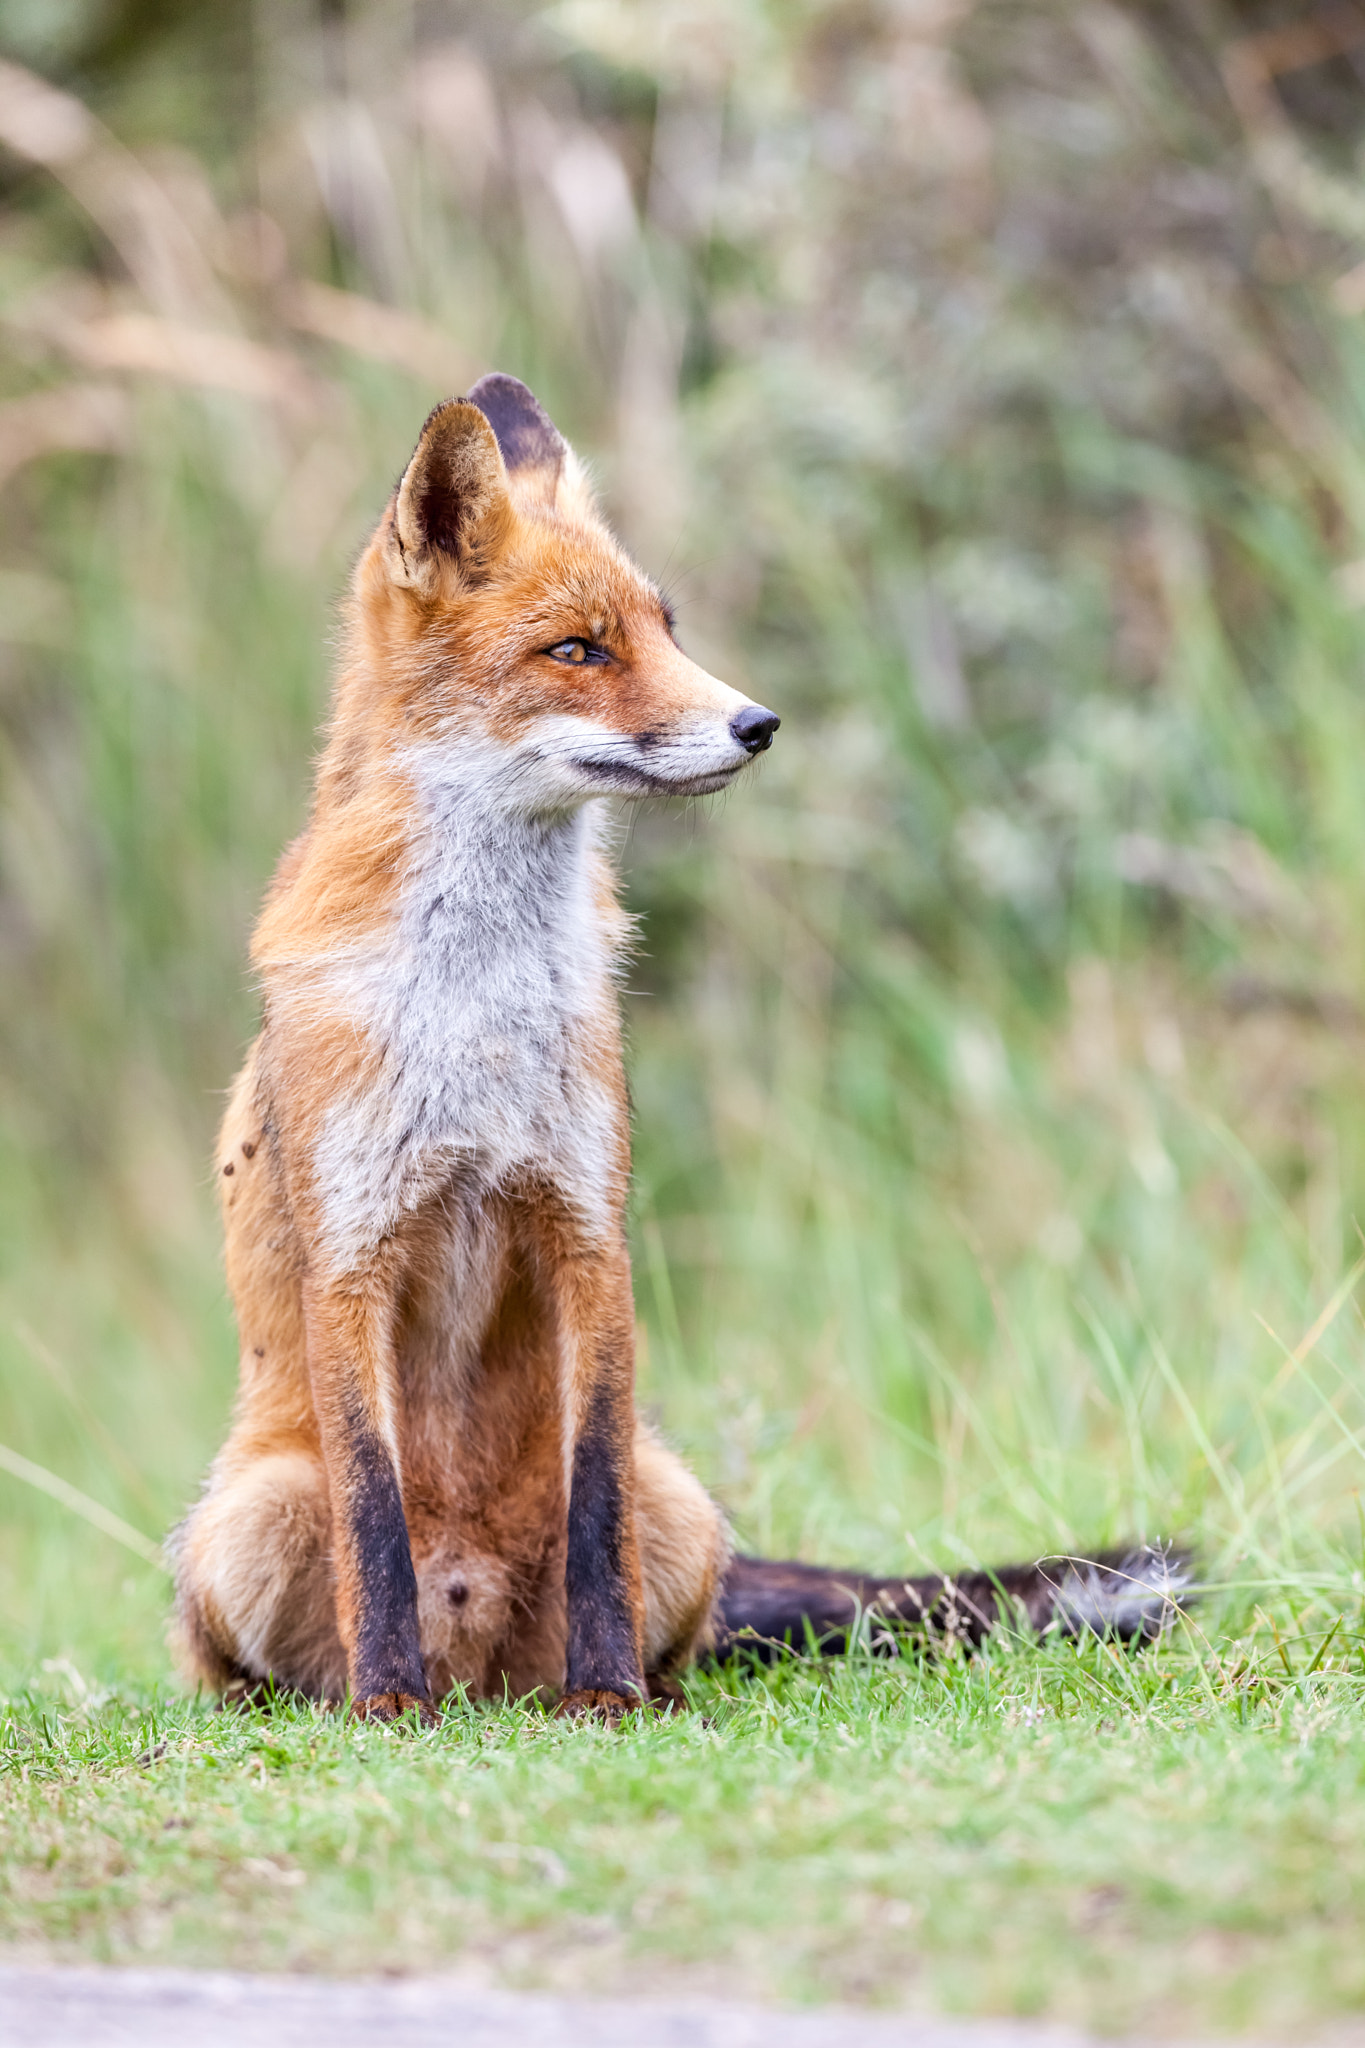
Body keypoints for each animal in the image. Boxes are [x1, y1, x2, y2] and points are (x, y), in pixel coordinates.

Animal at [173, 376, 1186, 1720]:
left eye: (665, 627)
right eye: (576, 650)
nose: (758, 722)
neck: (476, 1010)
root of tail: (485, 1662)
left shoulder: (588, 1228)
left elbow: (594, 1495)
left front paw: (608, 1698)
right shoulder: (352, 1254)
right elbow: (373, 1521)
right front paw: (392, 1707)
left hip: (687, 1502)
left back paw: (615, 1688)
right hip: (245, 1516)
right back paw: (345, 1700)